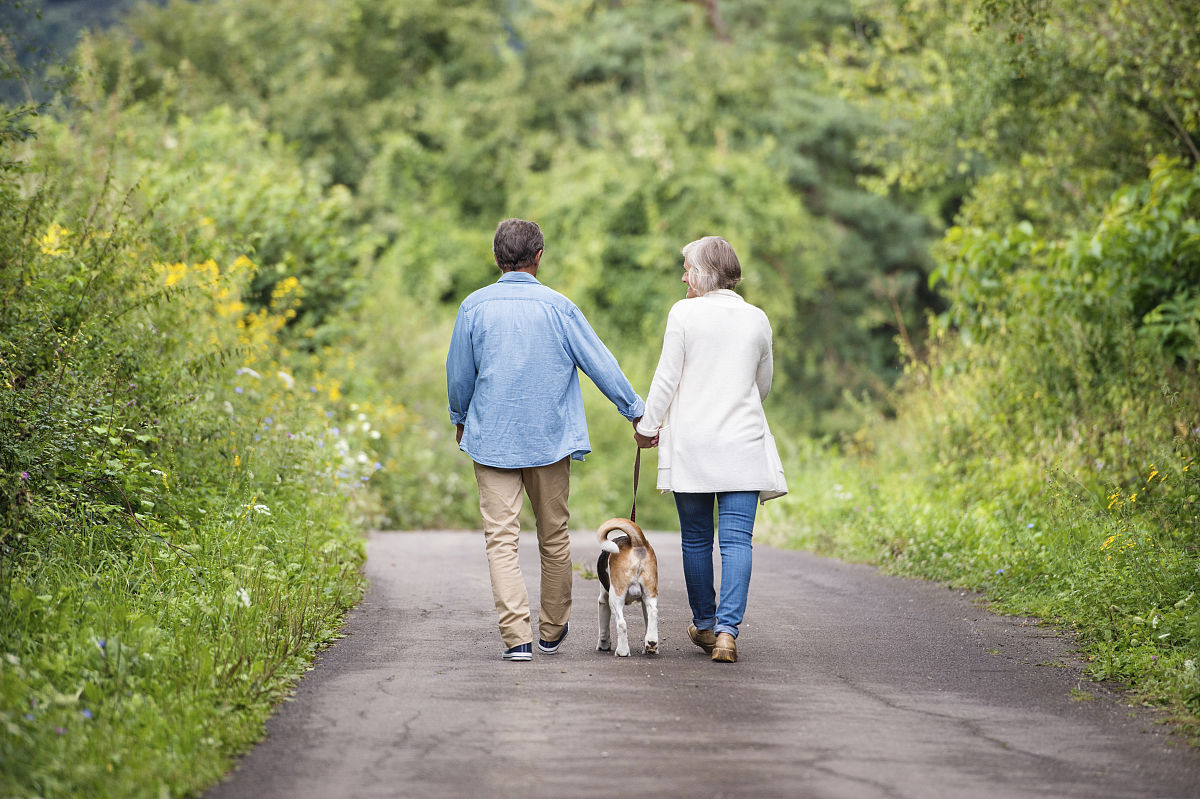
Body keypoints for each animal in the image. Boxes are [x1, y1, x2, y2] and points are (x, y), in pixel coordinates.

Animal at [595, 515, 662, 652]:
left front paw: (603, 645)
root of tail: (636, 542)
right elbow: (648, 620)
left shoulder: (603, 599)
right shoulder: (644, 602)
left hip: (615, 597)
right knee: (653, 612)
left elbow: (604, 629)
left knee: (621, 623)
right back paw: (652, 642)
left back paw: (622, 651)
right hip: (650, 593)